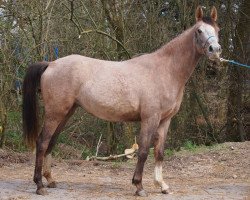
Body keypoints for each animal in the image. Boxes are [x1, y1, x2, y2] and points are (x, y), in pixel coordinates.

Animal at [22, 5, 221, 197]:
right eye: (199, 30)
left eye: (217, 29)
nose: (215, 50)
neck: (165, 70)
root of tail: (51, 64)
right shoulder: (150, 118)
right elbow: (143, 151)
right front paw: (139, 186)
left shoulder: (165, 120)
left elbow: (159, 153)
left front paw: (162, 185)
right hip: (55, 113)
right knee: (42, 142)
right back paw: (39, 185)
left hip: (66, 113)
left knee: (51, 142)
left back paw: (50, 180)